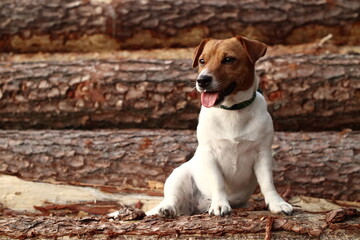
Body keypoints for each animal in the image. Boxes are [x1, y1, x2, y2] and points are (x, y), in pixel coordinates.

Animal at [146, 35, 292, 218]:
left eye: (228, 59)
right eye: (202, 61)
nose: (202, 80)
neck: (232, 110)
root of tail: (198, 205)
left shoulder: (263, 153)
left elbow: (268, 183)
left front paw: (277, 203)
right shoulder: (211, 154)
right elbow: (218, 182)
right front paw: (220, 204)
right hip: (178, 176)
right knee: (172, 198)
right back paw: (167, 209)